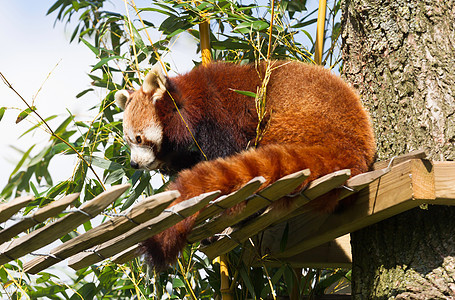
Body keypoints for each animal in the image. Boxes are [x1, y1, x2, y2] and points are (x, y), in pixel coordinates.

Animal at [115, 60, 378, 270]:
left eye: (138, 138)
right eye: (129, 141)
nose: (134, 163)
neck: (190, 101)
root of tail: (353, 146)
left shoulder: (217, 114)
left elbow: (225, 153)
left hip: (296, 121)